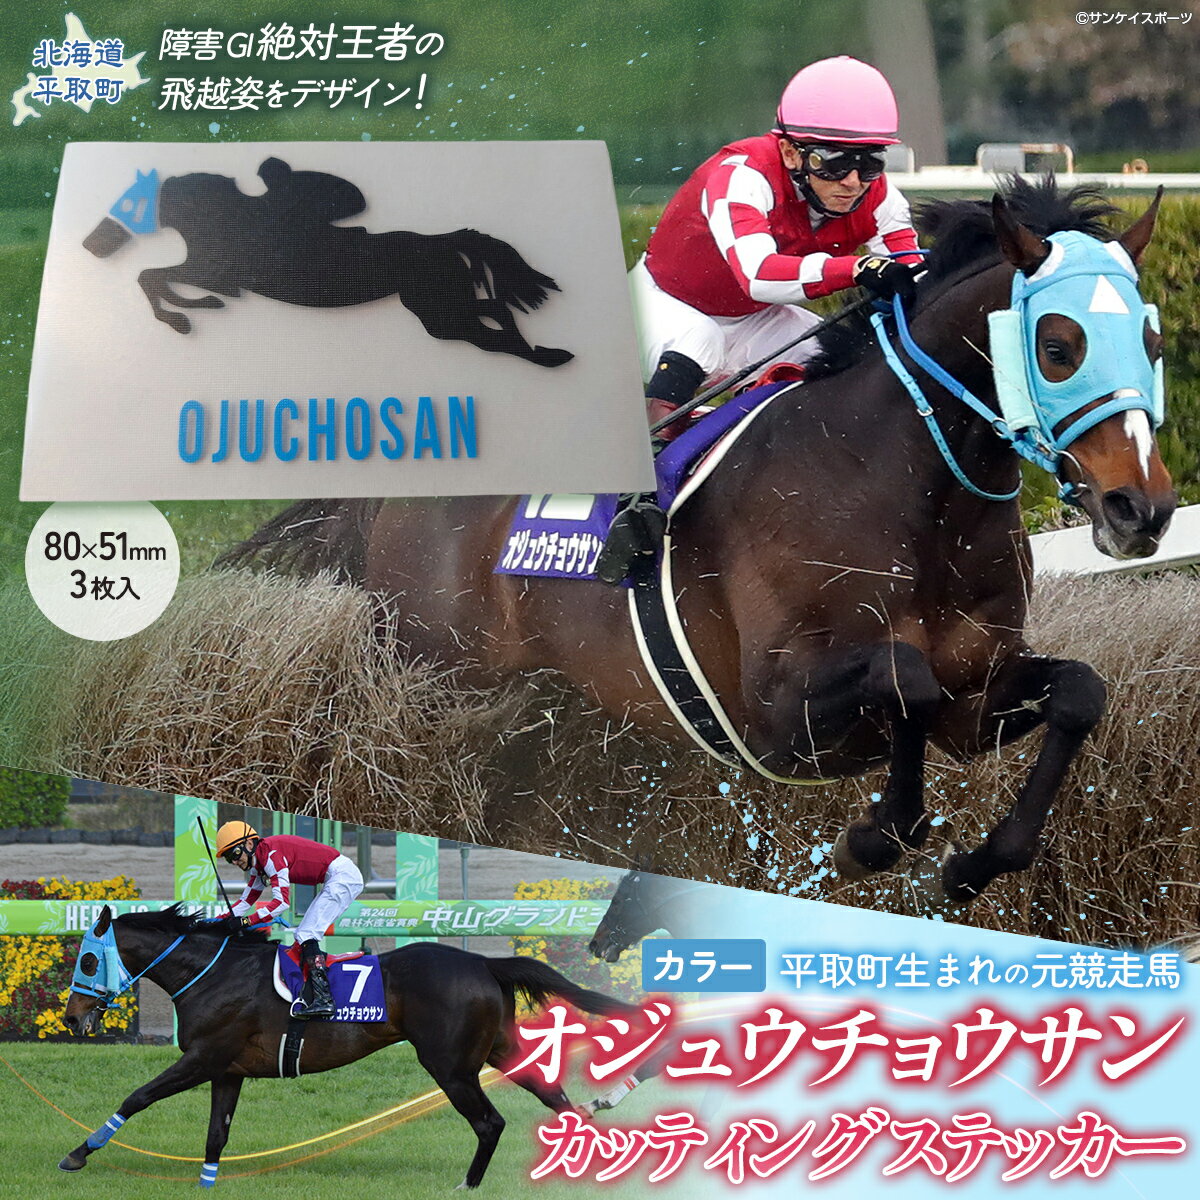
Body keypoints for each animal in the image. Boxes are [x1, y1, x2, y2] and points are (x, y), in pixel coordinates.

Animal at [60, 904, 634, 1188]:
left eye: (87, 959)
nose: (70, 1017)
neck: (213, 973)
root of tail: (484, 962)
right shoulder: (228, 1069)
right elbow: (216, 1135)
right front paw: (205, 1184)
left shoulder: (203, 1057)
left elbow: (138, 1096)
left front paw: (78, 1154)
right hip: (501, 1050)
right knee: (559, 1100)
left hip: (450, 1066)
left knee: (490, 1123)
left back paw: (467, 1186)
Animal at [82, 156, 574, 368]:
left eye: (126, 203)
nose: (90, 245)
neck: (224, 218)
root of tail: (443, 240)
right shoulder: (208, 269)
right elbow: (153, 277)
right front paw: (194, 311)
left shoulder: (216, 269)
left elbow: (150, 276)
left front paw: (186, 316)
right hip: (439, 306)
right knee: (494, 314)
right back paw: (548, 353)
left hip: (437, 310)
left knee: (489, 326)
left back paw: (545, 357)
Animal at [218, 178, 1176, 903]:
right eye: (1059, 343)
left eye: (1152, 337)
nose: (1143, 509)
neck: (904, 488)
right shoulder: (775, 714)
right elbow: (904, 677)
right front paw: (873, 837)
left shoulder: (974, 701)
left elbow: (1076, 693)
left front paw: (975, 863)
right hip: (436, 681)